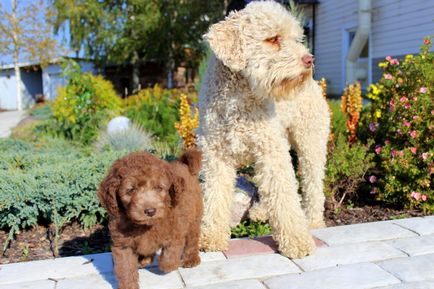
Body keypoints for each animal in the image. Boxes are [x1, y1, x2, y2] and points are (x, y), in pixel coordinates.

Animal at [99, 148, 204, 288]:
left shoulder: (175, 233)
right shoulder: (122, 244)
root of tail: (184, 164)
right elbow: (125, 268)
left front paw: (167, 264)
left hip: (194, 218)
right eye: (131, 190)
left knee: (192, 240)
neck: (145, 226)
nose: (150, 211)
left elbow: (169, 258)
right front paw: (128, 285)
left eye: (159, 188)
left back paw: (191, 259)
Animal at [198, 0, 330, 256]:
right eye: (273, 39)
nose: (309, 59)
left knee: (312, 185)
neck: (238, 98)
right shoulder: (216, 156)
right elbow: (214, 197)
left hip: (310, 142)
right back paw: (260, 212)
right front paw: (211, 237)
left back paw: (314, 222)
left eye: (295, 37)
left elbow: (284, 196)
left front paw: (296, 240)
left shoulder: (270, 152)